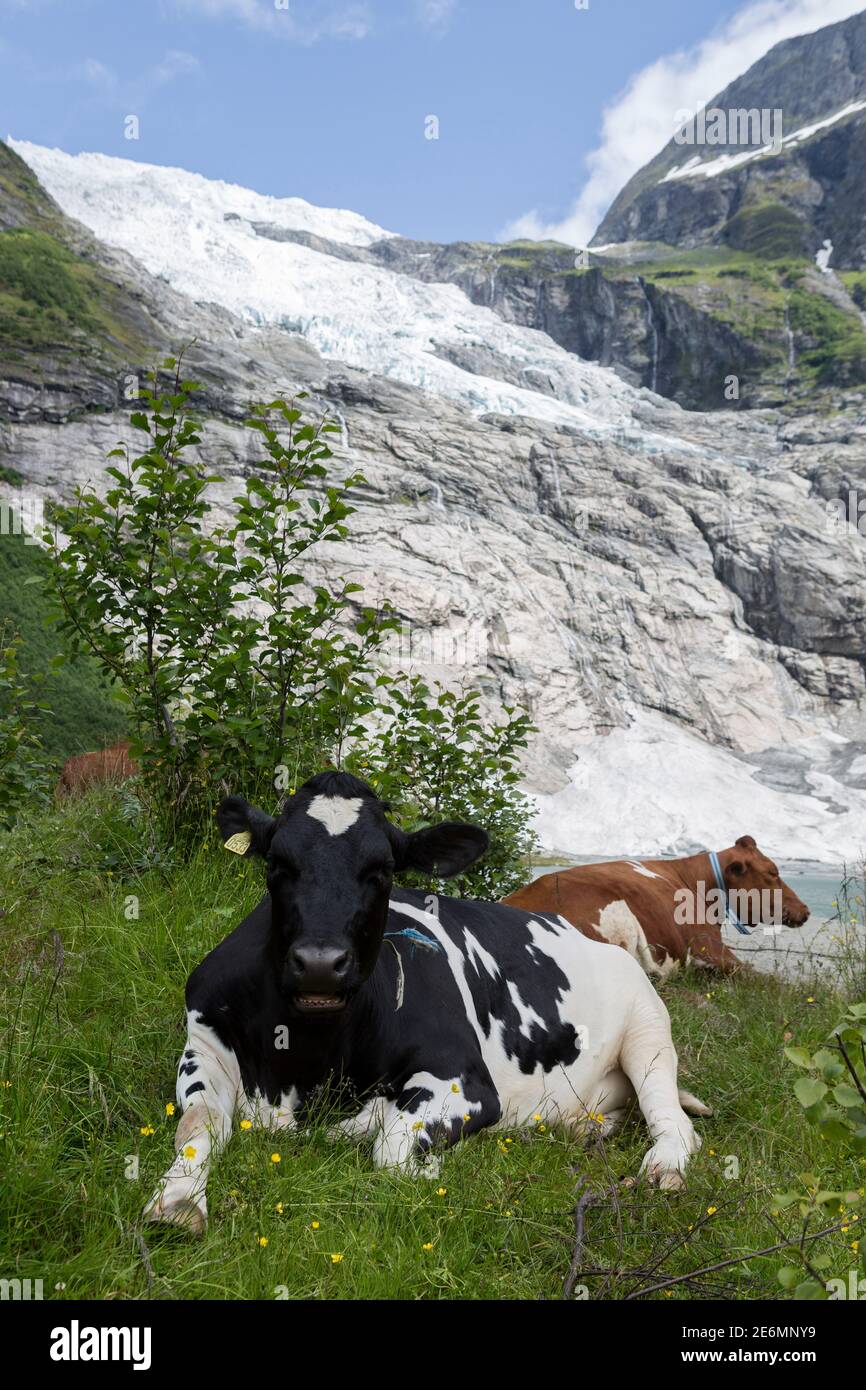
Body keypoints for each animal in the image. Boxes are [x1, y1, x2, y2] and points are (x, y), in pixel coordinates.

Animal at [144, 771, 709, 1235]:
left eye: (383, 868)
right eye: (278, 863)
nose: (321, 963)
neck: (306, 1059)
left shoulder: (463, 1079)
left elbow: (392, 1150)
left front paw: (416, 1153)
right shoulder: (203, 1045)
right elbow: (196, 1124)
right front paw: (177, 1201)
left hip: (649, 1030)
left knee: (672, 1119)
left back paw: (663, 1167)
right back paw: (585, 1128)